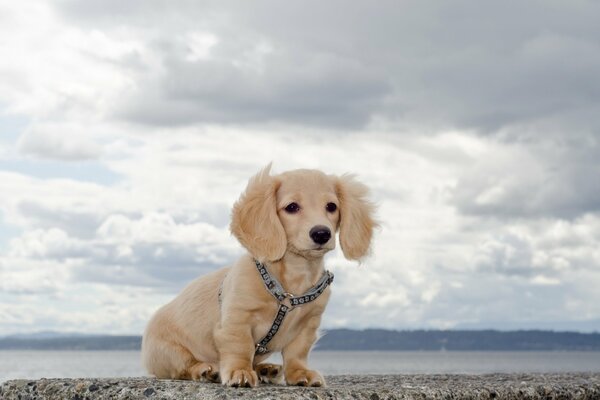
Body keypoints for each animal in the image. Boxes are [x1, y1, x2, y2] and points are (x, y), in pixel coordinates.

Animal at [141, 164, 376, 386]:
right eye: (291, 207)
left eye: (332, 207)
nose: (321, 233)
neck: (291, 284)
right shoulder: (237, 319)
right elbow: (241, 347)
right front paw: (240, 371)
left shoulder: (308, 324)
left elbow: (297, 353)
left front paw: (300, 373)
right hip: (170, 352)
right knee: (184, 367)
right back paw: (204, 370)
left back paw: (266, 369)